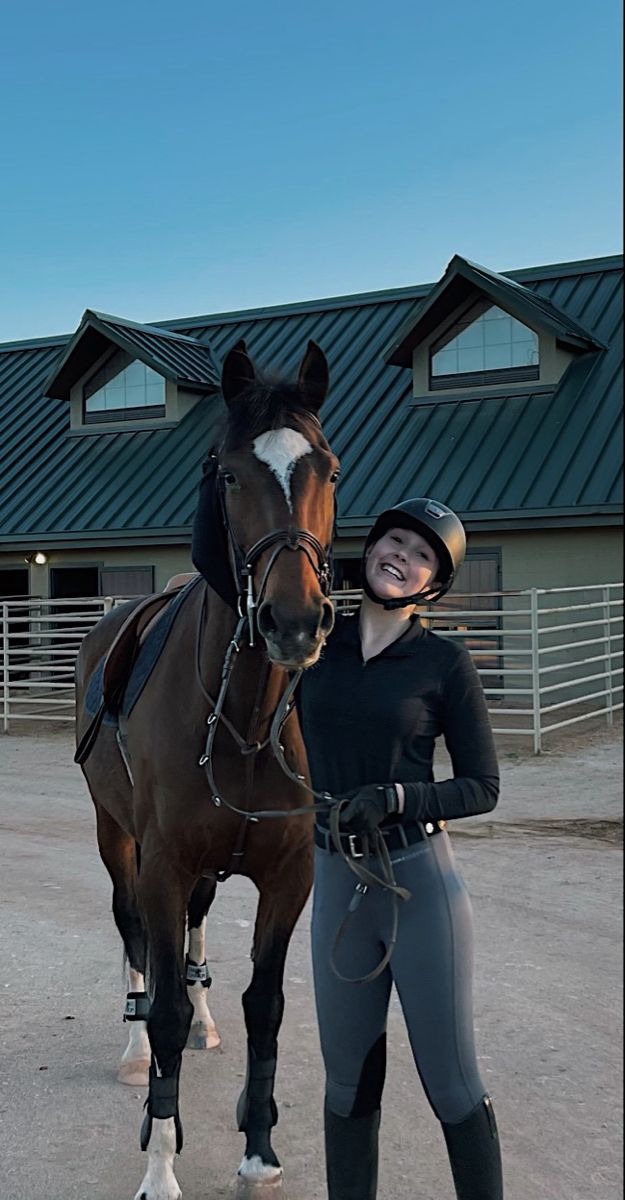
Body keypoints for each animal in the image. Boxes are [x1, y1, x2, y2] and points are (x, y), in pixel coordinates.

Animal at [74, 340, 338, 1200]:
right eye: (226, 473)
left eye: (327, 468)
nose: (294, 621)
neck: (242, 723)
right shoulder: (158, 864)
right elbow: (162, 1011)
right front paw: (159, 1164)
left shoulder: (289, 876)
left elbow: (266, 1006)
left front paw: (258, 1148)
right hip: (114, 836)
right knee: (132, 937)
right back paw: (134, 1051)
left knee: (191, 937)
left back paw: (203, 1016)